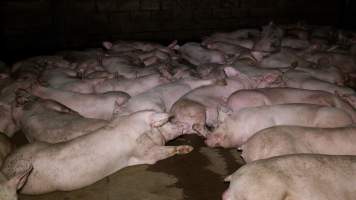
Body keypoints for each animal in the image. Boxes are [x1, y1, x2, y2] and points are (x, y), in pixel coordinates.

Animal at [1, 110, 193, 195]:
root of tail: (5, 166)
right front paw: (188, 149)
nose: (184, 124)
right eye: (170, 122)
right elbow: (159, 152)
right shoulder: (145, 153)